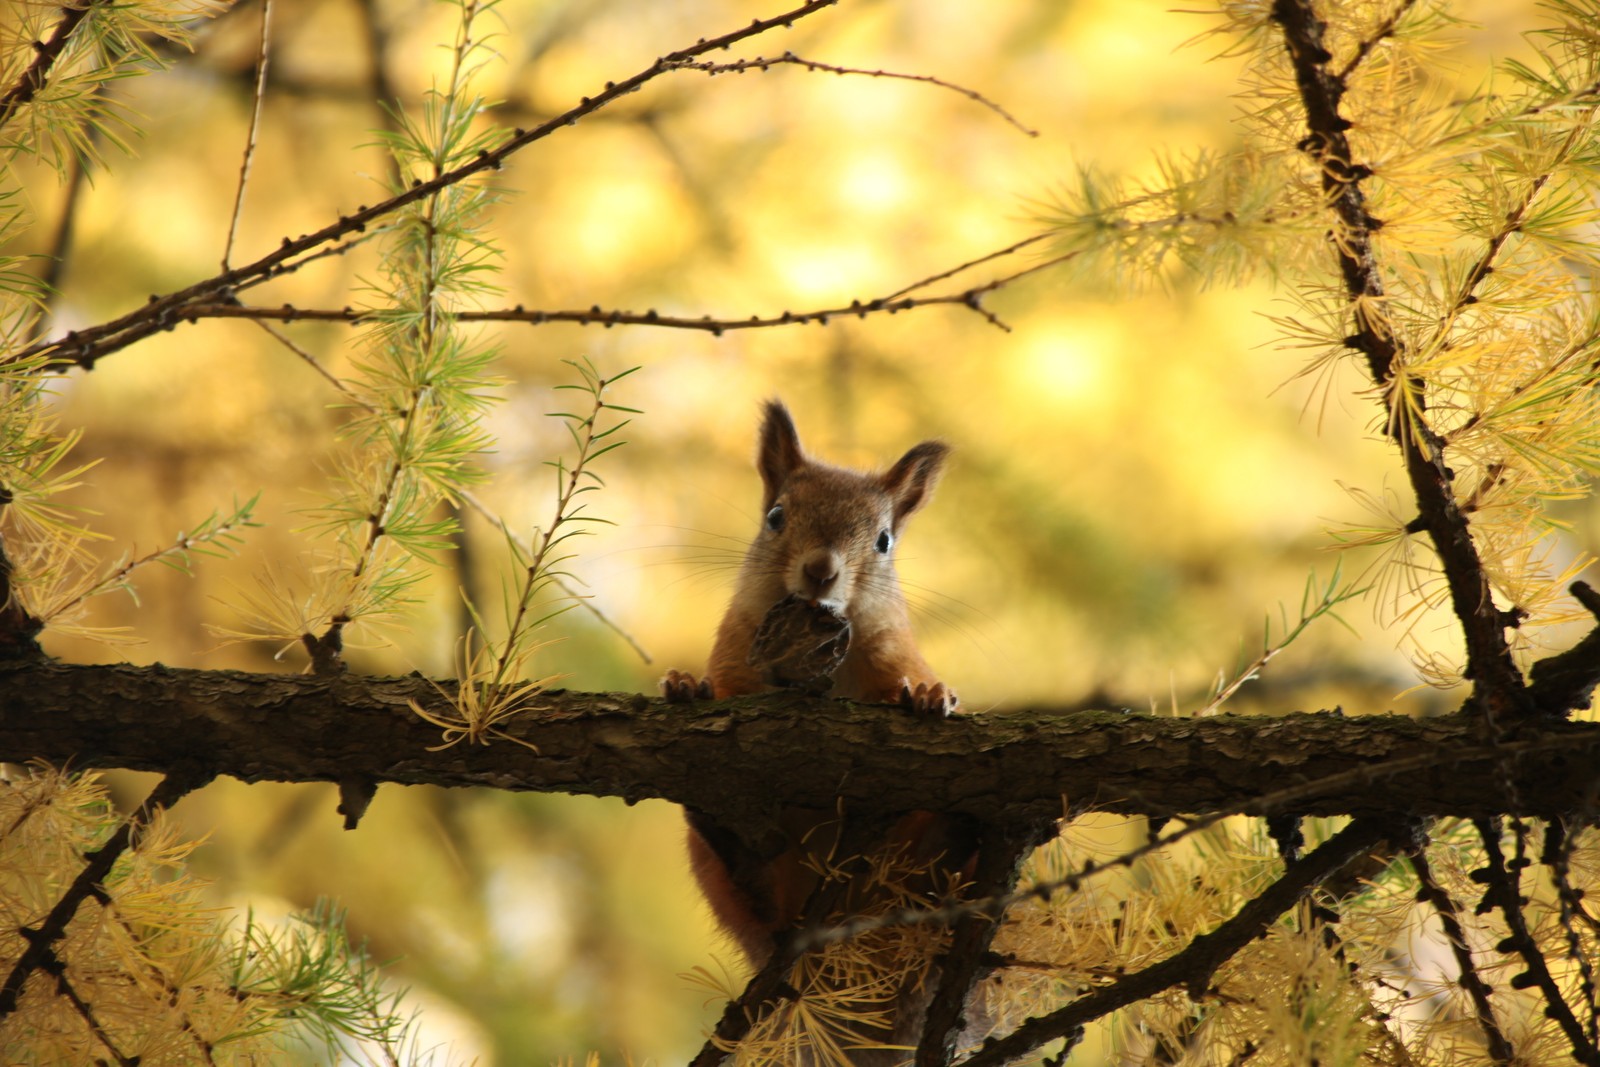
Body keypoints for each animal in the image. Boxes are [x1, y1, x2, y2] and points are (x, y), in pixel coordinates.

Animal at [659, 398, 966, 966]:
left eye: (884, 541)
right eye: (775, 517)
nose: (821, 570)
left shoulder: (894, 652)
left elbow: (906, 682)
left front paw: (930, 696)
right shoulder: (737, 653)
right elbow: (727, 691)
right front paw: (687, 685)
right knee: (753, 884)